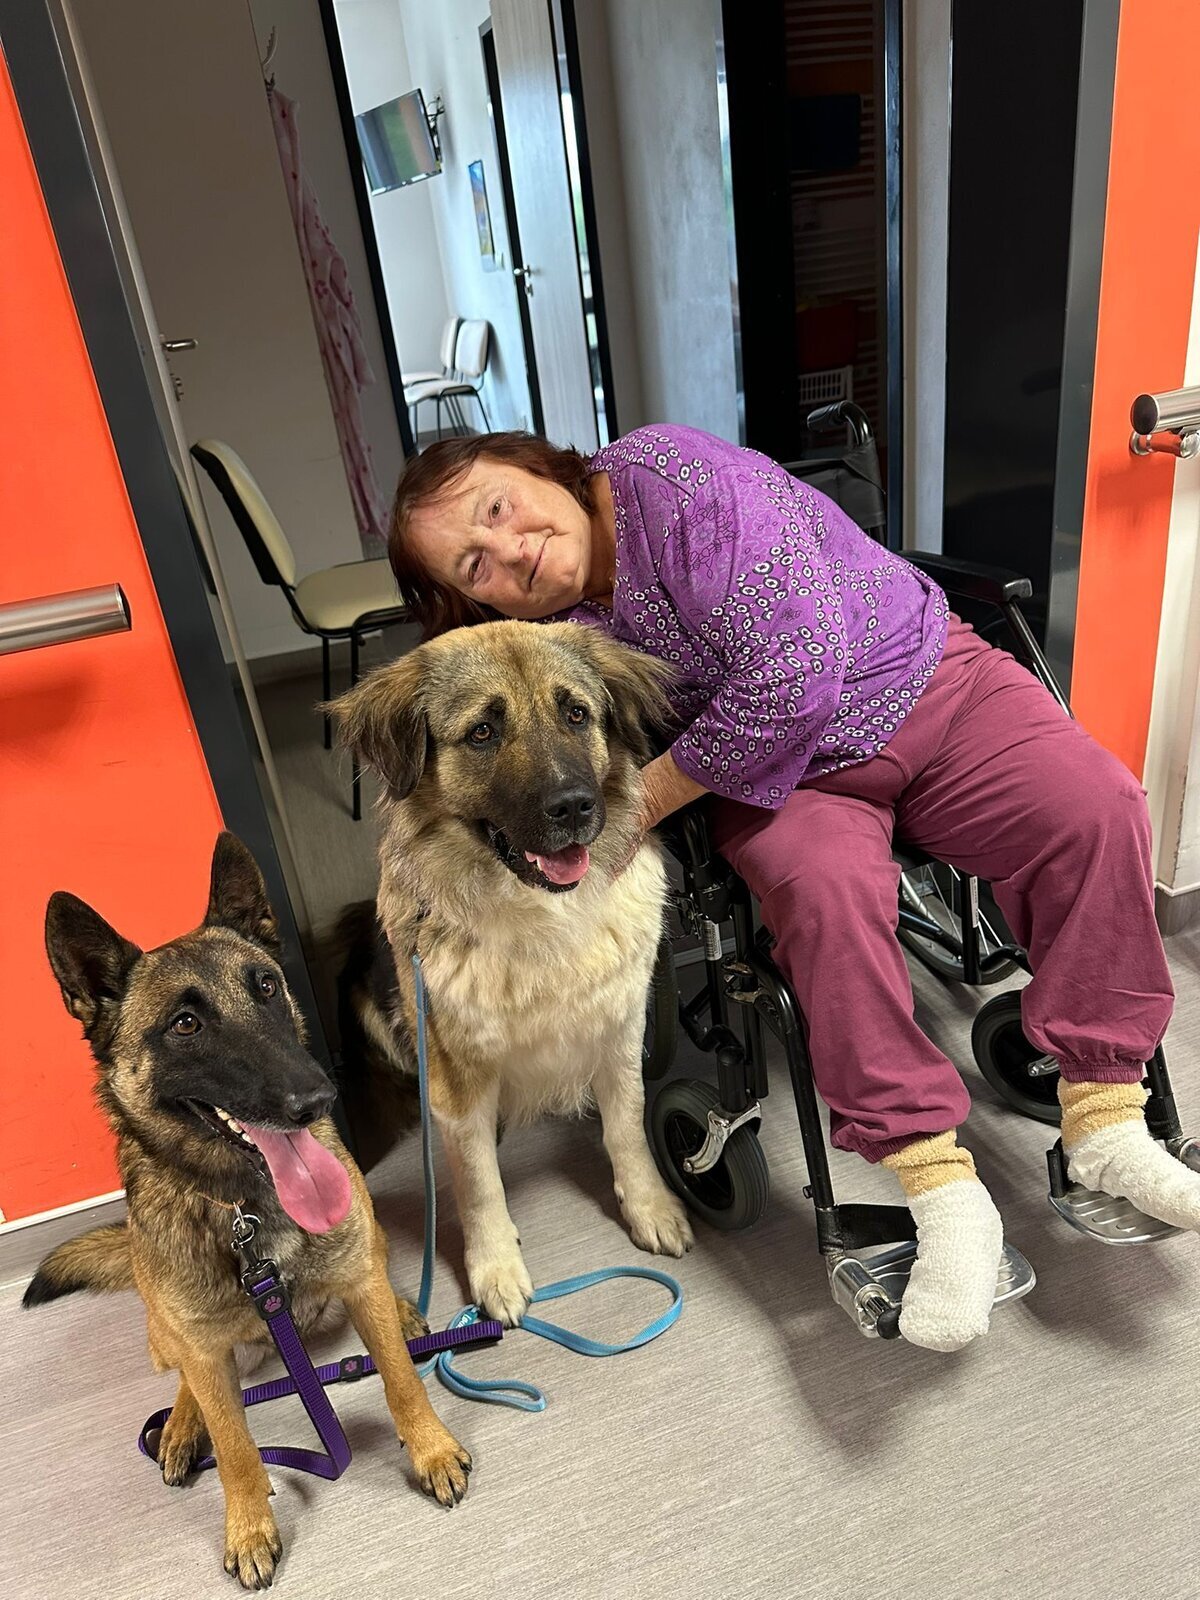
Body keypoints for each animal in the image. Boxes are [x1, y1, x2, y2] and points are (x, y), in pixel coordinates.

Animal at [25, 833, 470, 1591]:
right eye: (185, 1024)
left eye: (265, 987)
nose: (317, 1099)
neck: (247, 1211)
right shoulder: (204, 1351)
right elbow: (235, 1446)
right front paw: (248, 1525)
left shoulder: (360, 1281)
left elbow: (403, 1381)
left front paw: (431, 1448)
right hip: (165, 1322)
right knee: (186, 1376)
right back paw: (181, 1426)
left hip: (366, 1248)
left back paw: (402, 1311)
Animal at [330, 619, 694, 1327]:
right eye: (482, 733)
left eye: (577, 714)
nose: (574, 806)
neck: (538, 915)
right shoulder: (456, 1074)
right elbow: (477, 1183)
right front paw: (495, 1267)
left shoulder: (620, 1031)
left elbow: (628, 1128)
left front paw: (650, 1206)